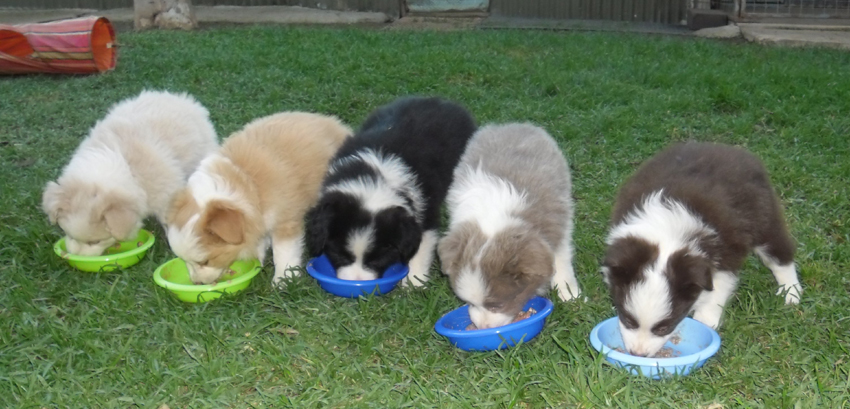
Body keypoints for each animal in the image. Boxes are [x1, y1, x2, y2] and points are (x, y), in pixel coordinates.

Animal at [166, 111, 352, 284]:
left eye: (205, 261)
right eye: (184, 261)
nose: (196, 283)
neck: (246, 183)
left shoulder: (285, 220)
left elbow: (284, 253)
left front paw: (283, 281)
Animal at [304, 97, 476, 286]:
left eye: (377, 259)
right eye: (340, 255)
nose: (358, 282)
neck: (374, 178)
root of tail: (443, 102)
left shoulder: (427, 208)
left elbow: (422, 243)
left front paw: (414, 282)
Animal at [438, 123, 584, 328]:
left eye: (497, 305)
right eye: (468, 302)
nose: (482, 327)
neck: (493, 219)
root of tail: (512, 124)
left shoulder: (558, 227)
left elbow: (561, 261)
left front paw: (571, 296)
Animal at [600, 141, 800, 356]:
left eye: (664, 327)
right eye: (628, 320)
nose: (638, 354)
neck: (668, 234)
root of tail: (731, 150)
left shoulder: (727, 251)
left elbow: (719, 286)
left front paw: (706, 319)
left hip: (764, 217)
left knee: (780, 255)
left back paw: (791, 293)